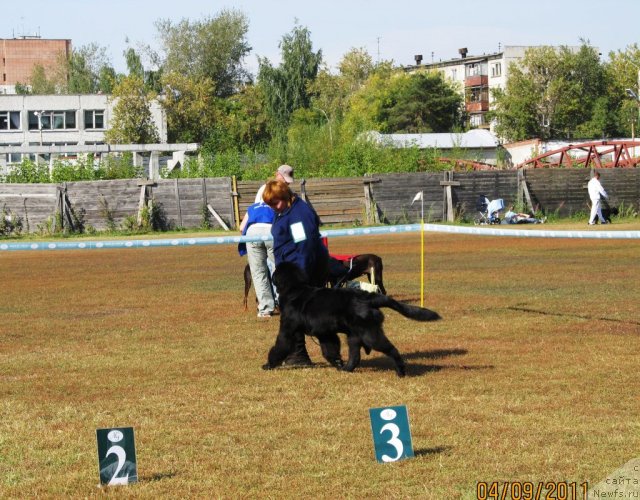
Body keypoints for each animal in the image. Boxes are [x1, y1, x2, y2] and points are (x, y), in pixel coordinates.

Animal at [262, 262, 442, 376]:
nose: (270, 275)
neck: (295, 289)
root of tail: (369, 298)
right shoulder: (325, 334)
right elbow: (330, 350)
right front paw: (337, 363)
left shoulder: (287, 329)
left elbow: (279, 346)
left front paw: (268, 364)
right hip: (354, 336)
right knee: (355, 356)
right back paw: (346, 369)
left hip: (370, 335)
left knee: (392, 349)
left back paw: (401, 371)